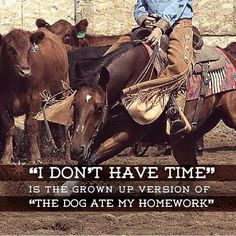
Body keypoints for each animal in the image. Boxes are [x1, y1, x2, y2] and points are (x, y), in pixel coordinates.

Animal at [0, 28, 69, 164]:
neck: (15, 82)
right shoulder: (2, 103)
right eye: (10, 48)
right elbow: (9, 127)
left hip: (63, 91)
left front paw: (35, 157)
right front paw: (7, 156)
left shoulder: (35, 99)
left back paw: (67, 154)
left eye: (29, 49)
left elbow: (31, 125)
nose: (25, 71)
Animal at [67, 41, 236, 167]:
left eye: (99, 108)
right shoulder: (98, 132)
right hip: (184, 140)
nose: (76, 149)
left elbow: (92, 160)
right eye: (74, 104)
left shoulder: (126, 136)